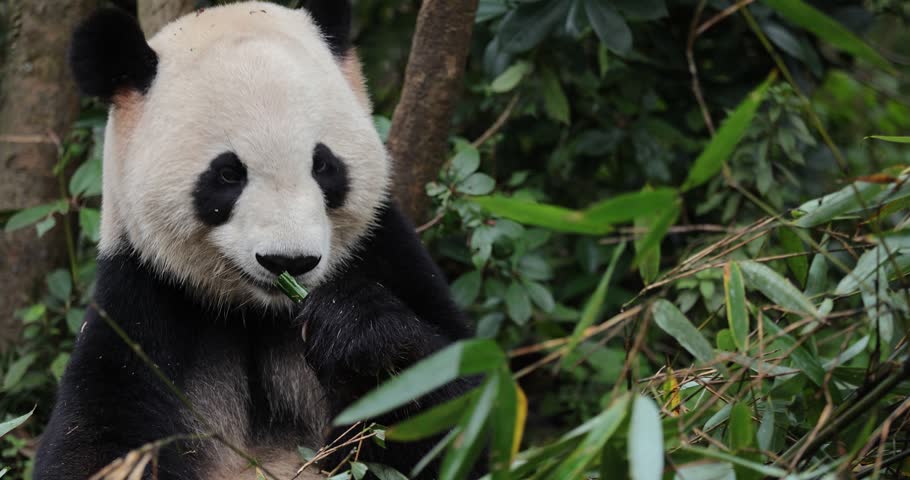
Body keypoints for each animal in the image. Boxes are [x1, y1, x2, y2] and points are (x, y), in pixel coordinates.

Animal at [34, 2, 475, 479]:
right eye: (228, 174)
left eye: (323, 165)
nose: (289, 262)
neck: (258, 313)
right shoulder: (142, 301)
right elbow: (94, 440)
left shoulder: (385, 252)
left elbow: (456, 409)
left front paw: (355, 328)